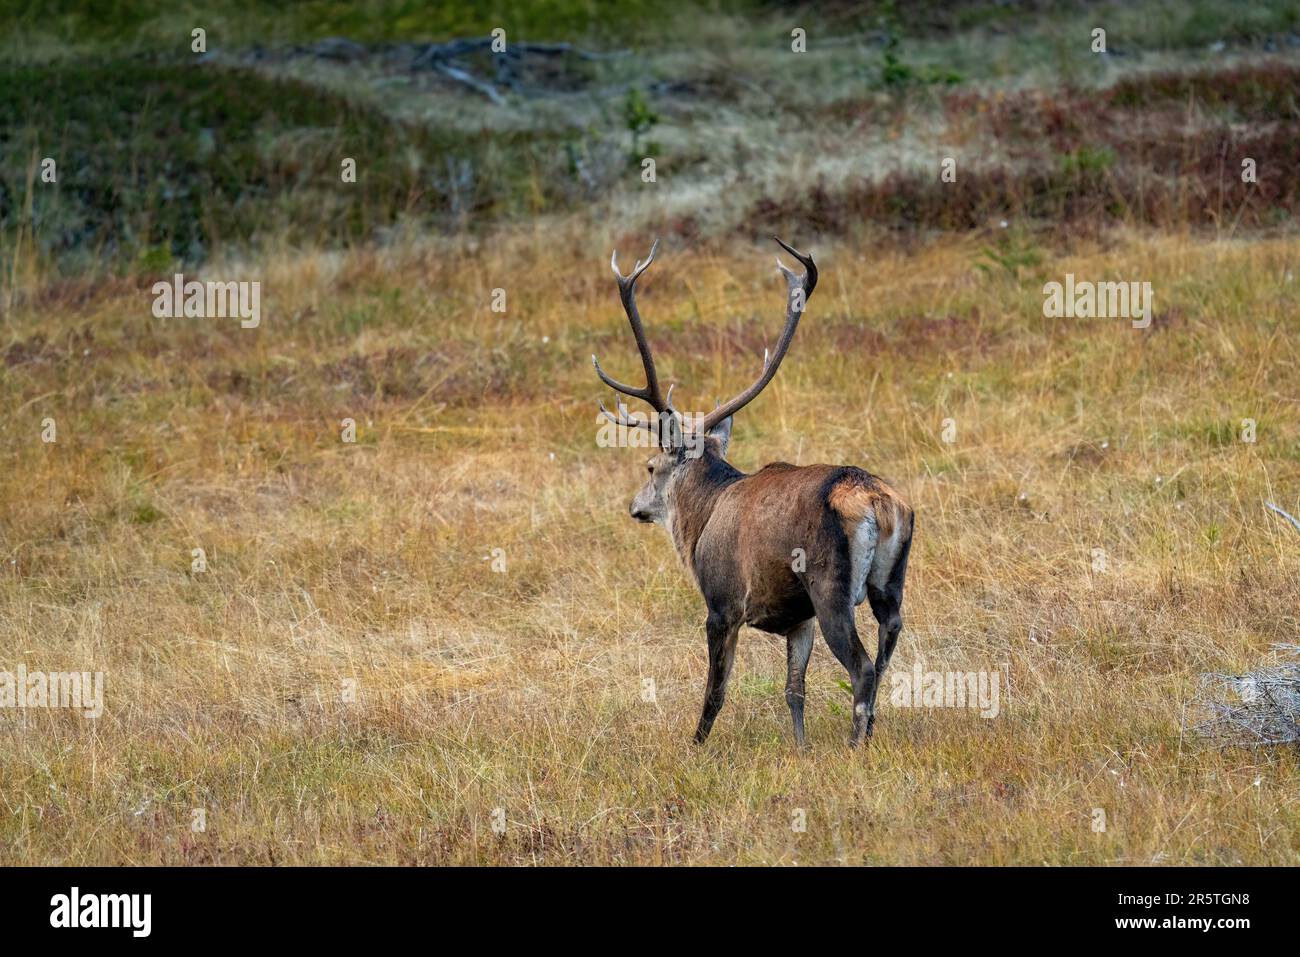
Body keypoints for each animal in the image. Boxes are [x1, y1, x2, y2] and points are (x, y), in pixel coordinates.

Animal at [592, 237, 915, 748]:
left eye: (649, 466)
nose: (634, 506)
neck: (700, 520)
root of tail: (877, 502)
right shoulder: (799, 619)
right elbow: (794, 690)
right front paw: (801, 749)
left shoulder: (722, 603)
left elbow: (716, 691)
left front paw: (694, 747)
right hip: (891, 583)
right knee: (885, 658)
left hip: (831, 587)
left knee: (862, 669)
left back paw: (854, 747)